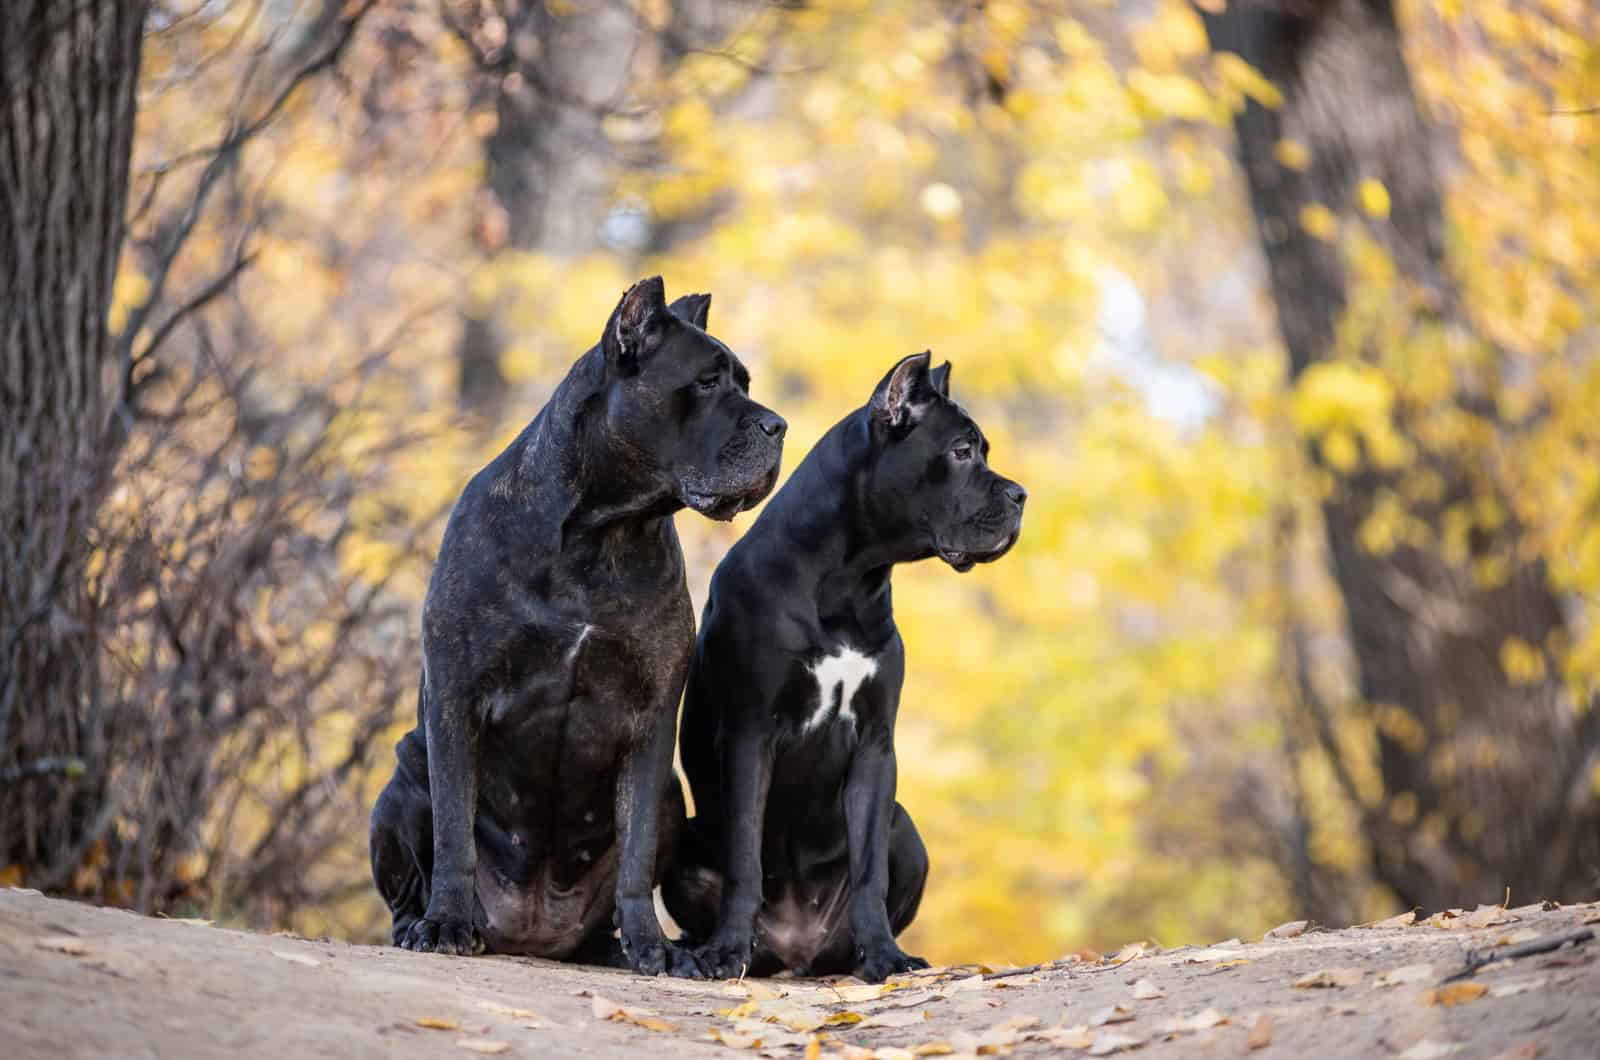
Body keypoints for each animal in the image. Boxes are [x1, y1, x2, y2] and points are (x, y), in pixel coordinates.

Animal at [368, 278, 780, 973]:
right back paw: (423, 924)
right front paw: (445, 921)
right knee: (411, 876)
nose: (778, 426)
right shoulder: (456, 695)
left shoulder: (650, 721)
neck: (601, 532)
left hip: (671, 798)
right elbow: (453, 830)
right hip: (401, 780)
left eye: (744, 384)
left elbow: (635, 853)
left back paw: (619, 946)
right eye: (705, 382)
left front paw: (650, 946)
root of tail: (532, 933)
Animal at [662, 352, 1024, 986]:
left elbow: (869, 870)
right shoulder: (751, 735)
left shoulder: (876, 745)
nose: (1022, 494)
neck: (849, 578)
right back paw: (708, 948)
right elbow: (744, 858)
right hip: (685, 835)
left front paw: (884, 955)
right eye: (961, 451)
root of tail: (796, 952)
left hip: (907, 830)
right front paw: (726, 951)